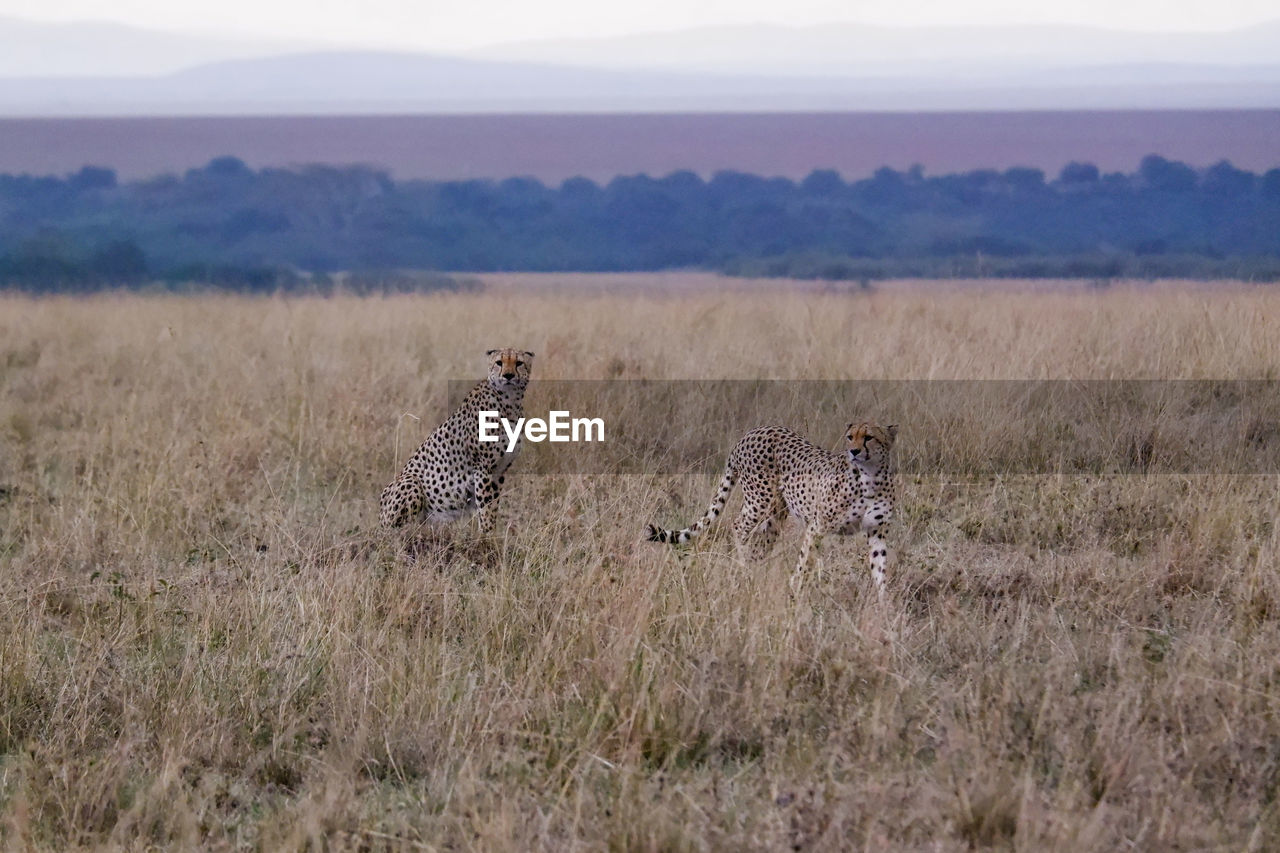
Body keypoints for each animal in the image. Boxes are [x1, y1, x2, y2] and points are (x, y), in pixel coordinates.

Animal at [376, 345, 532, 532]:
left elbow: (492, 507)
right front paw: (487, 535)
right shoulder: (483, 468)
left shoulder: (499, 469)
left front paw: (492, 532)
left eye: (519, 363)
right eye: (499, 362)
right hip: (411, 483)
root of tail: (379, 519)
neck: (509, 402)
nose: (508, 375)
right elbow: (485, 507)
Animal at [640, 422, 901, 594]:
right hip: (760, 500)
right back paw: (744, 568)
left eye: (869, 437)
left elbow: (880, 569)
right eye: (849, 437)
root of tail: (752, 432)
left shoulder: (876, 532)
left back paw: (756, 572)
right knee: (737, 527)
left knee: (760, 541)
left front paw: (883, 607)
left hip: (774, 515)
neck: (870, 476)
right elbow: (805, 560)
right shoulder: (817, 526)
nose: (853, 451)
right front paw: (795, 588)